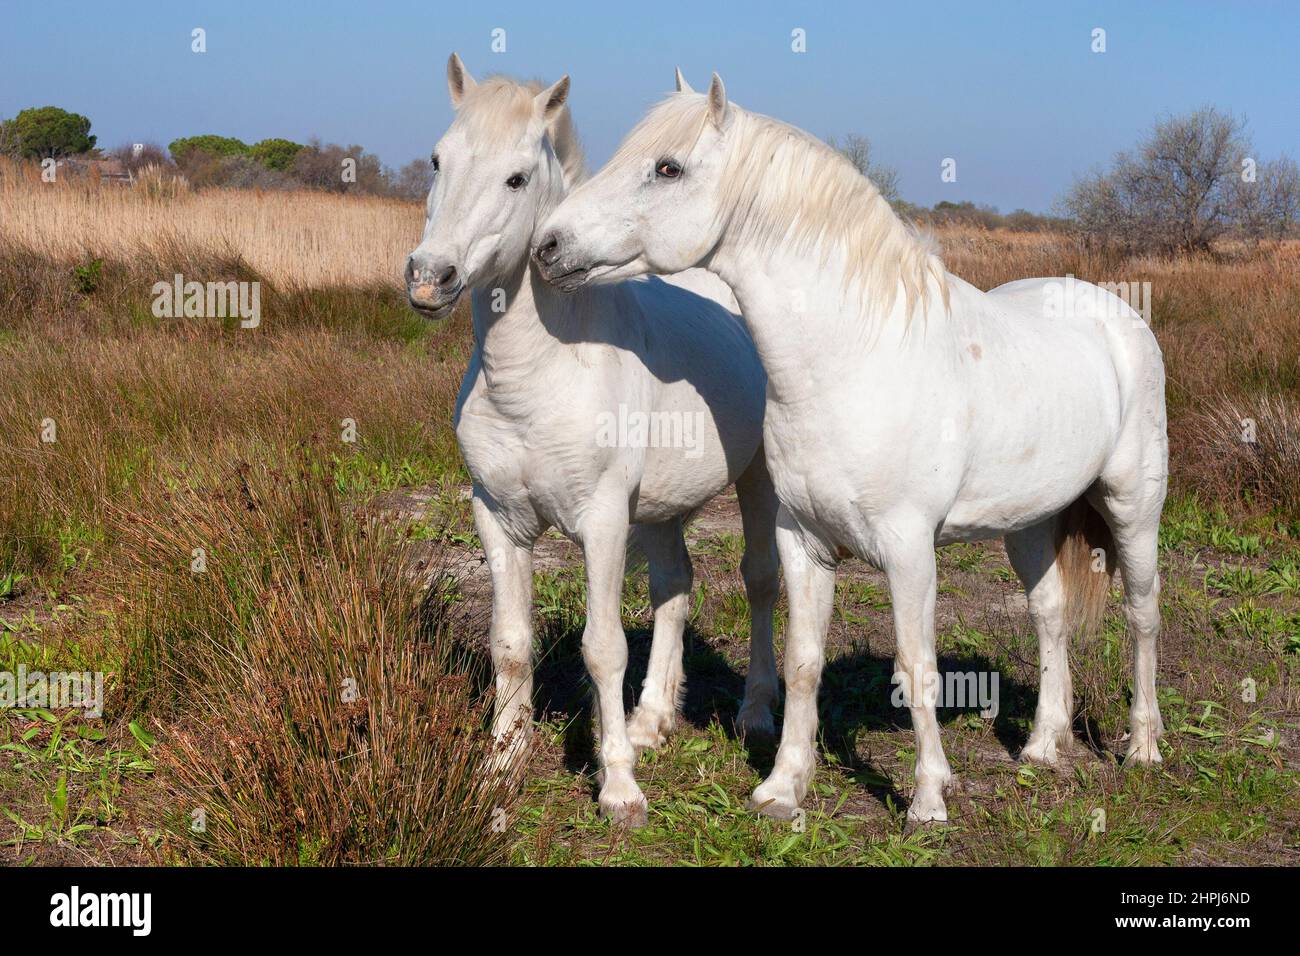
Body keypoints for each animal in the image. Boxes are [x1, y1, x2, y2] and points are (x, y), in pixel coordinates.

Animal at [405, 55, 774, 827]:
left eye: (517, 178)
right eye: (437, 159)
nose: (428, 278)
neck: (538, 377)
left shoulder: (602, 522)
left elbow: (601, 648)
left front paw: (619, 788)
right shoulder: (498, 519)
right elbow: (510, 644)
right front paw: (501, 765)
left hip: (759, 483)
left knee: (760, 582)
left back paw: (754, 715)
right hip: (660, 508)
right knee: (675, 587)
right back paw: (652, 720)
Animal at [533, 72, 1175, 822]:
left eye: (667, 168)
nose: (548, 245)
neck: (856, 359)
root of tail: (1118, 314)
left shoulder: (909, 549)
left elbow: (916, 667)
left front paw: (927, 799)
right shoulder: (803, 541)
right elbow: (804, 660)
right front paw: (782, 788)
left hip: (1132, 509)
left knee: (1143, 616)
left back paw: (1143, 748)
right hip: (1030, 522)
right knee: (1049, 615)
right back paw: (1042, 747)